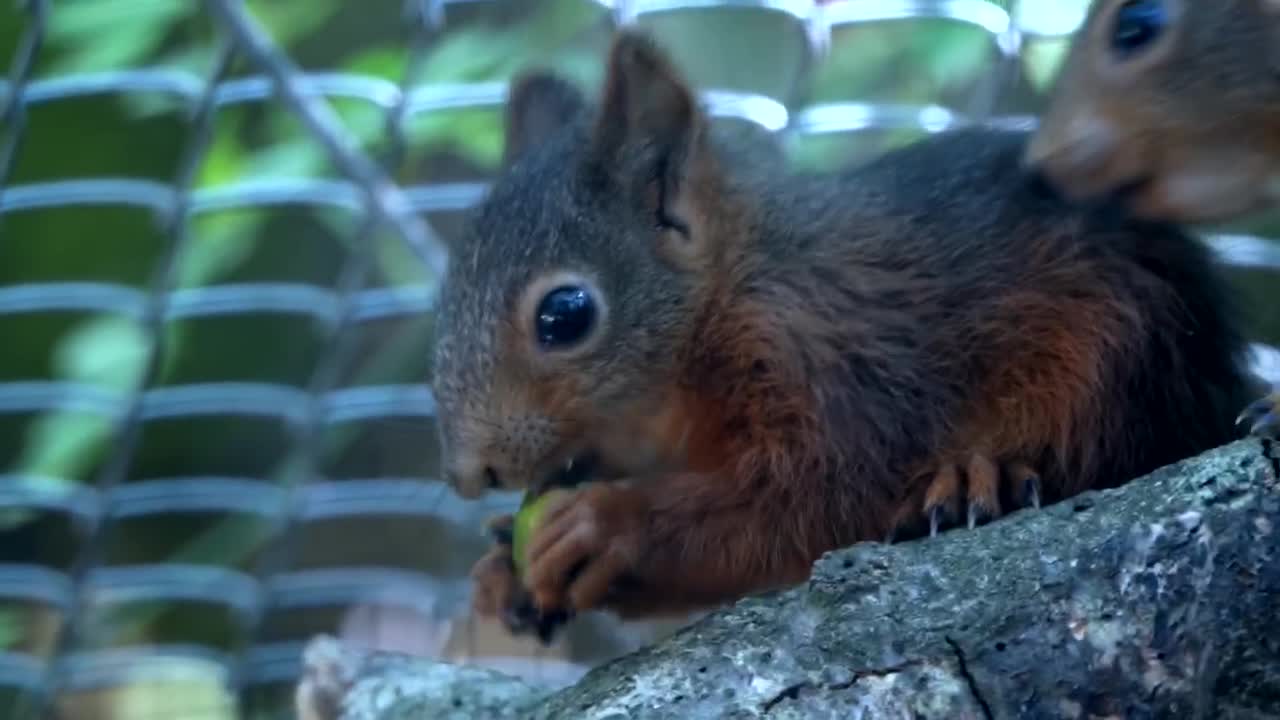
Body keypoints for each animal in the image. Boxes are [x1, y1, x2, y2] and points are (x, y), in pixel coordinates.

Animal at [432, 29, 1259, 632]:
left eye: (564, 315)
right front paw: (500, 570)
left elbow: (811, 497)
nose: (472, 474)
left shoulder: (828, 359)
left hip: (1122, 349)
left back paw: (978, 474)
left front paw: (607, 524)